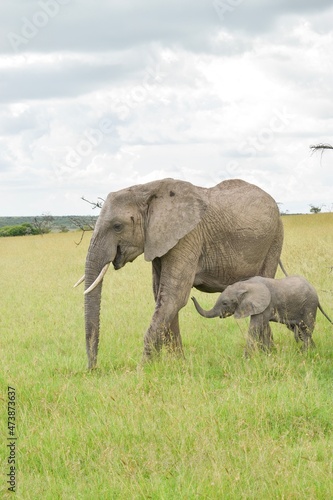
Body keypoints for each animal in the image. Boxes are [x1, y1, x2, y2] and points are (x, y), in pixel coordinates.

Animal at [75, 178, 282, 370]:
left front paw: (142, 370)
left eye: (117, 226)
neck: (147, 190)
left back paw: (265, 354)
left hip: (275, 239)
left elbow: (173, 298)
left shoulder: (188, 236)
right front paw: (176, 364)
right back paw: (269, 352)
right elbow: (162, 297)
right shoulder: (160, 240)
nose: (93, 369)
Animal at [191, 276, 330, 354]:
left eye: (225, 303)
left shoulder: (266, 304)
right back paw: (312, 350)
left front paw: (247, 357)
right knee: (300, 331)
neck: (246, 285)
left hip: (309, 305)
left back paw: (304, 353)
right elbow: (263, 328)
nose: (192, 297)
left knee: (306, 329)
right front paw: (268, 353)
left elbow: (255, 327)